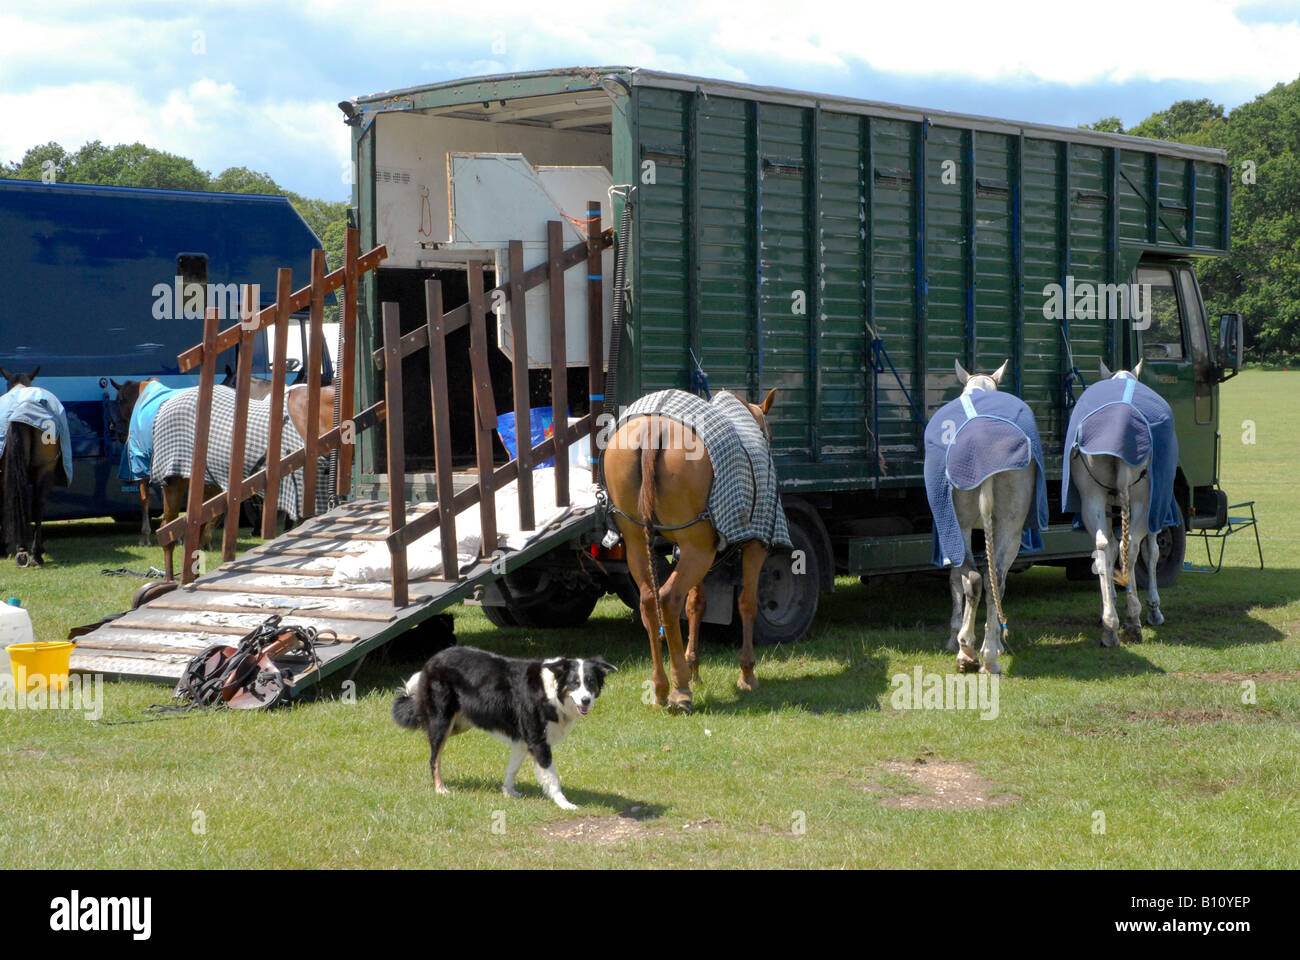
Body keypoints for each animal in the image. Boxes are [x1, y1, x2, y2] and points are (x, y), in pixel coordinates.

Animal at [600, 387, 780, 712]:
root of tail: (654, 427)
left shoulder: (688, 551)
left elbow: (697, 603)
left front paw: (694, 666)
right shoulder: (754, 545)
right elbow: (747, 603)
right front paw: (747, 673)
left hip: (642, 542)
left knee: (650, 601)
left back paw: (662, 686)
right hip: (698, 549)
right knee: (669, 599)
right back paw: (680, 688)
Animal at [925, 359, 1045, 671]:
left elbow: (955, 579)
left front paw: (954, 636)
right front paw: (996, 643)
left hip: (960, 520)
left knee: (974, 578)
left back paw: (967, 650)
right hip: (1011, 524)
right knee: (996, 580)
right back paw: (990, 655)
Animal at [1066, 361, 1180, 647]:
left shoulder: (1106, 505)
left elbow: (1108, 552)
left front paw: (1110, 604)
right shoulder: (1154, 511)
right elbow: (1152, 553)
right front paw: (1153, 608)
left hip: (1091, 497)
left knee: (1104, 546)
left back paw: (1110, 625)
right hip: (1141, 499)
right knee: (1131, 547)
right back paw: (1132, 620)